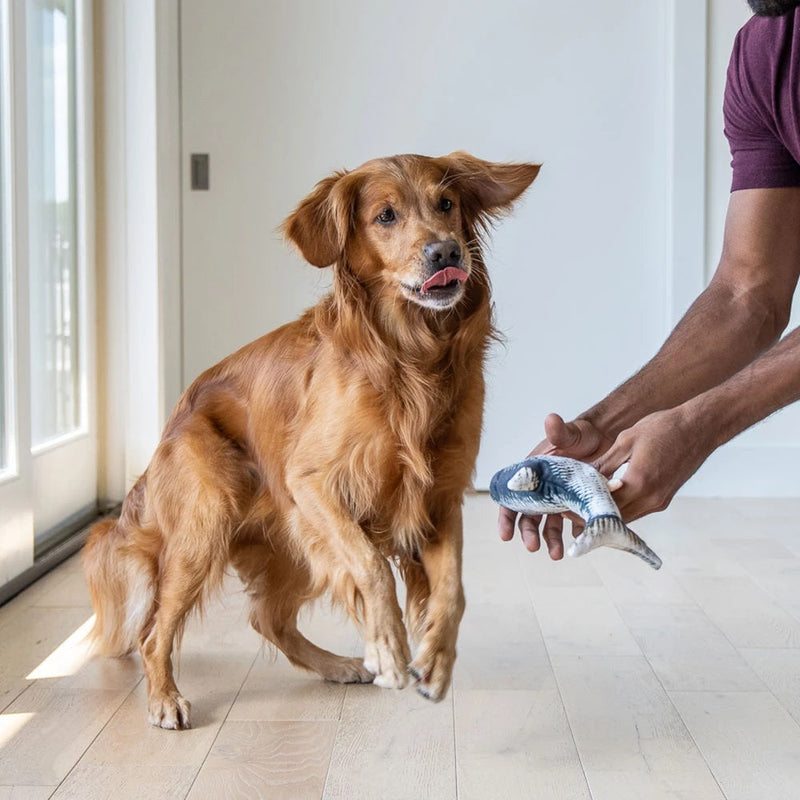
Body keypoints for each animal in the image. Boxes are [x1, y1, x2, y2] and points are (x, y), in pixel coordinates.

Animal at [83, 152, 536, 732]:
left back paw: (337, 665)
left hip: (289, 545)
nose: (446, 252)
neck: (411, 358)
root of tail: (169, 429)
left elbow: (452, 591)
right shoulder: (313, 484)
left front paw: (435, 657)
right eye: (385, 216)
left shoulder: (438, 495)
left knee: (268, 620)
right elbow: (372, 568)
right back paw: (165, 697)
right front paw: (389, 646)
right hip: (209, 519)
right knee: (153, 631)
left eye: (447, 204)